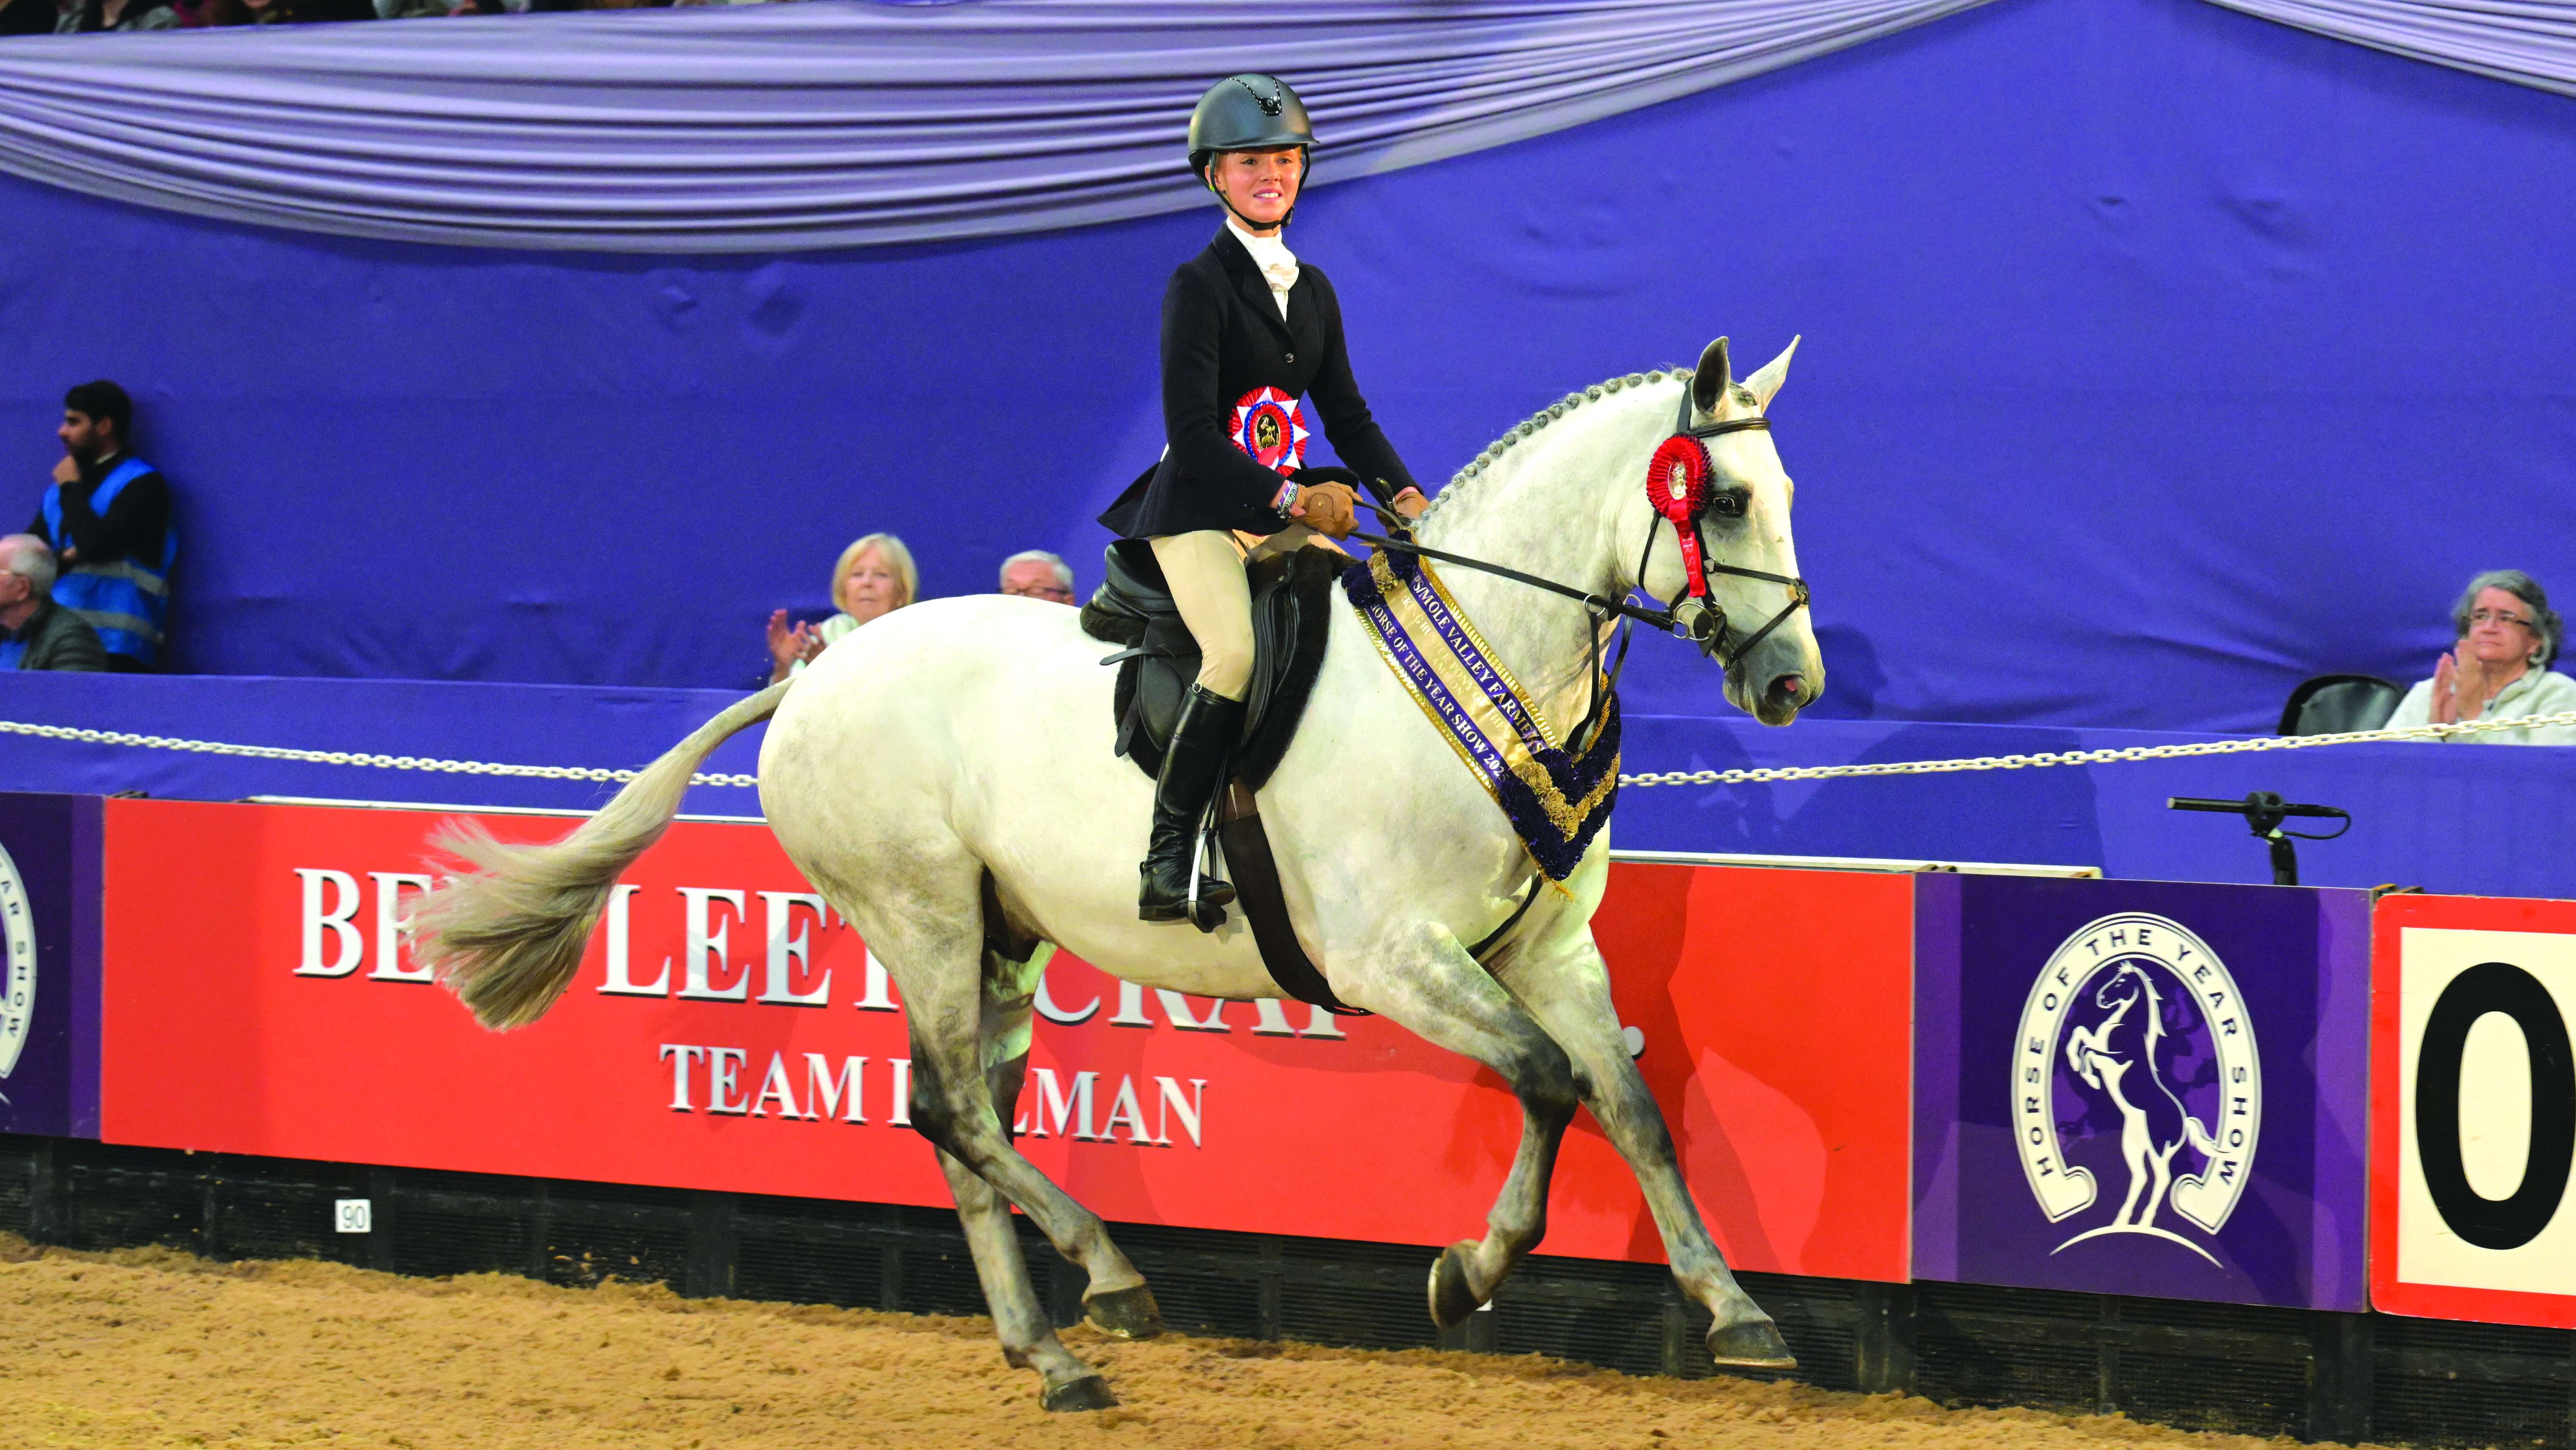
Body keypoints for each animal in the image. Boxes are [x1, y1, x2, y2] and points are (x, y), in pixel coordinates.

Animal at [410, 334, 1824, 1411]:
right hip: (919, 909)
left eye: (1785, 491)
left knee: (960, 1120)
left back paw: (1049, 1350)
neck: (1489, 661)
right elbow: (1542, 1081)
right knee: (952, 1112)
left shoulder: (1547, 950)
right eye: (1724, 501)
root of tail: (819, 671)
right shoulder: (1390, 957)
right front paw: (1462, 1275)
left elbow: (1629, 1108)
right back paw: (1107, 1283)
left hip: (996, 933)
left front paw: (1736, 1314)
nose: (1790, 686)